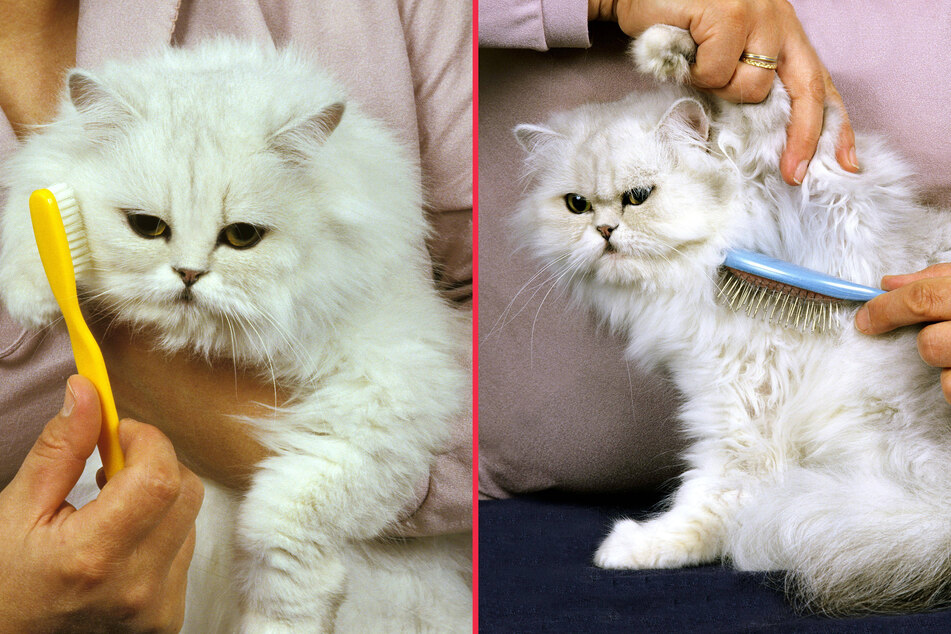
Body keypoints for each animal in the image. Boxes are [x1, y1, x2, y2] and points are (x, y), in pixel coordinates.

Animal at [0, 38, 472, 628]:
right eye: (147, 227)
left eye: (243, 236)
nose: (188, 275)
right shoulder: (45, 175)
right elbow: (30, 219)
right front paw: (33, 295)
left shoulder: (388, 397)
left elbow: (283, 527)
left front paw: (283, 623)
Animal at [516, 24, 951, 612]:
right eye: (577, 206)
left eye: (638, 197)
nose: (604, 231)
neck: (703, 272)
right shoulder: (731, 409)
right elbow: (713, 503)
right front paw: (632, 551)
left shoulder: (831, 200)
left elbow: (766, 108)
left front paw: (671, 49)